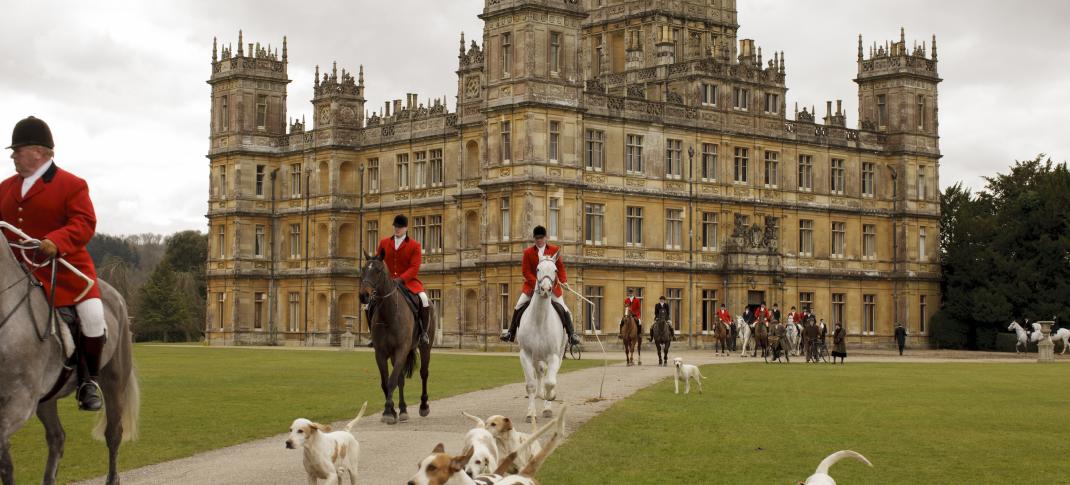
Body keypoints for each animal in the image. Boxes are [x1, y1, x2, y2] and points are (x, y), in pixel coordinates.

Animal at [0, 226, 140, 483]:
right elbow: (6, 463)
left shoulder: (19, 402)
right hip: (47, 397)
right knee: (57, 437)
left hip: (114, 381)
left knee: (113, 434)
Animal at [359, 251, 434, 426]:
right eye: (363, 269)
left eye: (378, 270)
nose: (364, 295)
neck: (388, 314)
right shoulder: (380, 353)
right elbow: (386, 382)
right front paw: (392, 410)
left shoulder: (401, 349)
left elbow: (391, 380)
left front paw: (388, 411)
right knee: (400, 378)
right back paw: (403, 409)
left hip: (425, 347)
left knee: (423, 373)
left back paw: (423, 405)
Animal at [513, 254, 564, 421]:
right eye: (537, 269)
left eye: (555, 270)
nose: (546, 290)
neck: (540, 320)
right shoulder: (526, 355)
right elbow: (531, 385)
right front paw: (531, 413)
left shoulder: (553, 356)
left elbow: (550, 382)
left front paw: (549, 399)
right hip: (536, 356)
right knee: (540, 372)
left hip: (559, 354)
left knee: (549, 375)